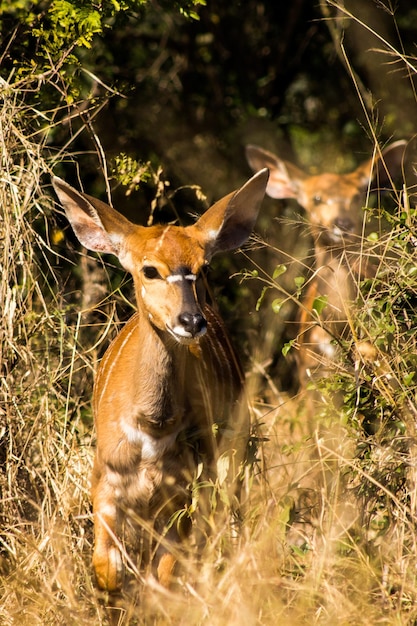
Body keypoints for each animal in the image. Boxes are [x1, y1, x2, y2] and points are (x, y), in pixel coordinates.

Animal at [52, 168, 268, 588]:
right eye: (150, 269)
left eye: (203, 268)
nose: (192, 321)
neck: (152, 425)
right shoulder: (106, 482)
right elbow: (108, 569)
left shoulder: (182, 492)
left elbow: (164, 574)